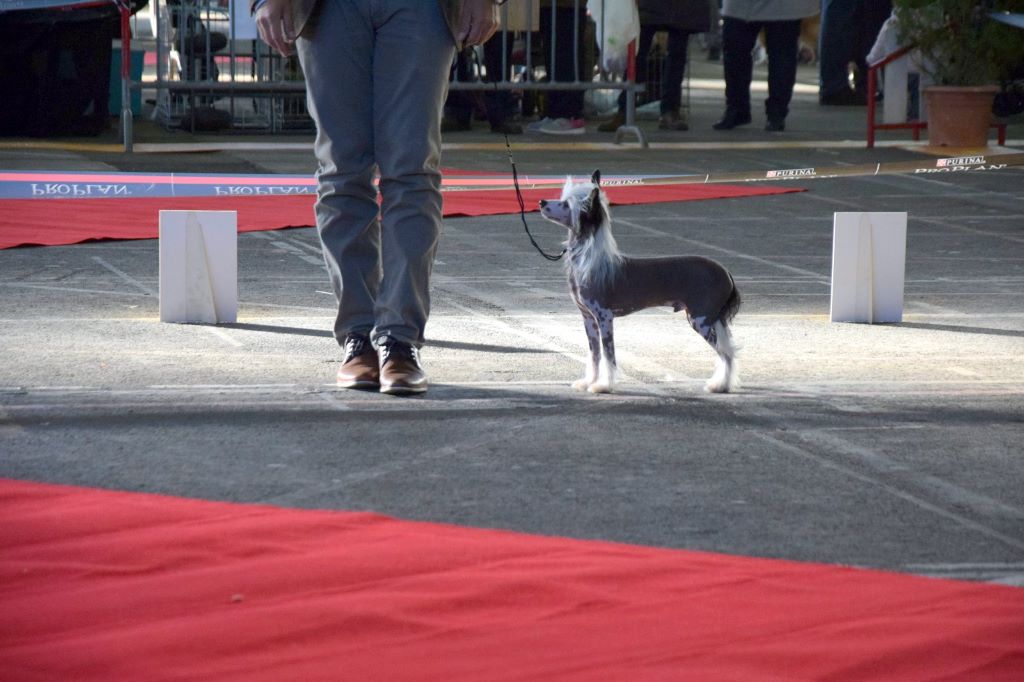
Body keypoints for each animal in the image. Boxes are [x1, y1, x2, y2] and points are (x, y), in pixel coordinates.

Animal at [540, 171, 741, 393]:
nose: (541, 202)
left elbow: (609, 355)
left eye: (566, 204)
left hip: (701, 319)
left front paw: (604, 386)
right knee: (727, 350)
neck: (588, 259)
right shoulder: (588, 319)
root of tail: (726, 272)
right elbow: (595, 354)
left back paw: (720, 385)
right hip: (712, 319)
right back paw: (722, 383)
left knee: (726, 353)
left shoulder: (604, 317)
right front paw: (589, 381)